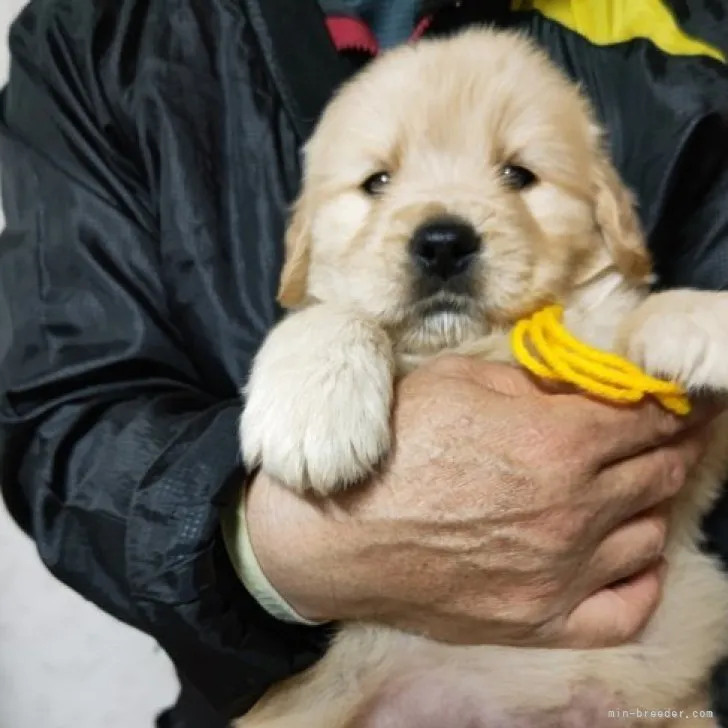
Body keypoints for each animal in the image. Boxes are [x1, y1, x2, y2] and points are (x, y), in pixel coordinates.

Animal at [239, 25, 728, 728]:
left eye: (518, 174)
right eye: (377, 181)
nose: (443, 242)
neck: (479, 343)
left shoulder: (692, 462)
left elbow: (637, 320)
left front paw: (702, 319)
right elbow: (330, 312)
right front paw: (315, 410)